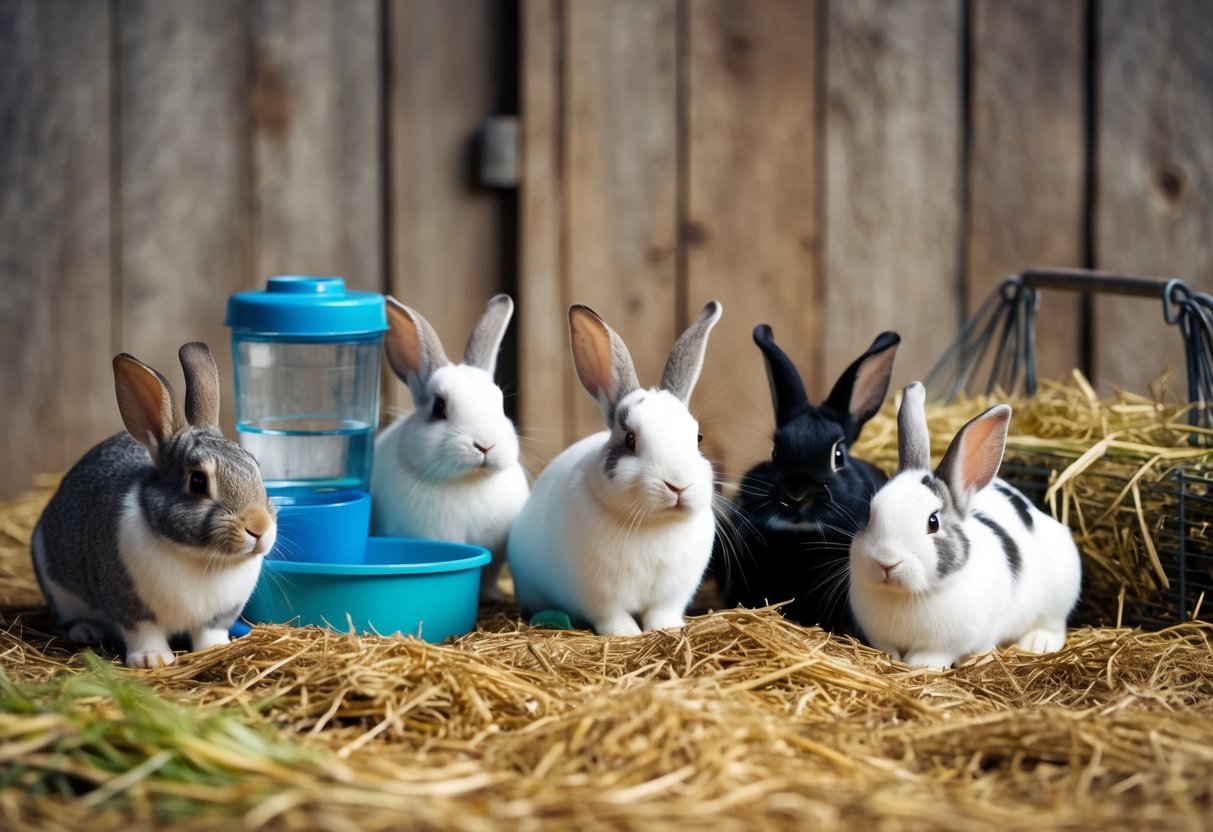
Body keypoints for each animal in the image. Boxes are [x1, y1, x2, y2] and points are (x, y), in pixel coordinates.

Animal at [30, 342, 277, 669]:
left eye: (254, 466)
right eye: (198, 481)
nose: (259, 528)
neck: (196, 556)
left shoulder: (216, 617)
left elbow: (209, 635)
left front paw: (215, 650)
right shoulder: (130, 607)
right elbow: (144, 632)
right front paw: (153, 660)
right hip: (59, 590)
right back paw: (86, 630)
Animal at [363, 293, 526, 599]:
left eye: (499, 404)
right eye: (439, 407)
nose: (485, 445)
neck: (468, 482)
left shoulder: (495, 559)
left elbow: (488, 578)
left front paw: (492, 596)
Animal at [509, 303, 722, 635]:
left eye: (698, 438)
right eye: (630, 439)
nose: (678, 485)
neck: (653, 523)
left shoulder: (672, 595)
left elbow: (662, 613)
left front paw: (668, 628)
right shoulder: (600, 598)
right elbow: (613, 616)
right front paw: (626, 634)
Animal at [849, 385, 1086, 669]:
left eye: (933, 522)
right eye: (870, 514)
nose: (886, 561)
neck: (905, 595)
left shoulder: (947, 644)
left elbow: (930, 656)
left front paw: (921, 664)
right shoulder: (880, 636)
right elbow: (887, 649)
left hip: (1060, 591)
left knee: (1054, 625)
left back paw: (1038, 643)